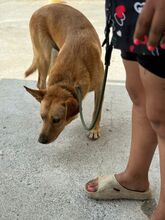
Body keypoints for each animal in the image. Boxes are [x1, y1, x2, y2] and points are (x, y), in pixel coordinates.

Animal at [23, 3, 104, 144]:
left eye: (56, 120)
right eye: (42, 117)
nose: (41, 140)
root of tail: (39, 9)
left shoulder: (100, 87)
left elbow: (96, 111)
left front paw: (94, 129)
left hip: (51, 55)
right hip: (44, 55)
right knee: (41, 82)